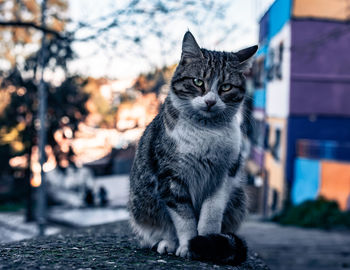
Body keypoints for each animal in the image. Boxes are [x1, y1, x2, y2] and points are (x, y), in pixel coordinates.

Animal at [129, 30, 258, 264]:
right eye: (198, 82)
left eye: (226, 87)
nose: (210, 101)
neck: (206, 132)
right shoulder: (170, 178)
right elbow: (184, 218)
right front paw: (188, 244)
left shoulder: (223, 177)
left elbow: (211, 213)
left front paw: (208, 242)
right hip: (143, 205)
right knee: (161, 229)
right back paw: (168, 243)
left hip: (238, 198)